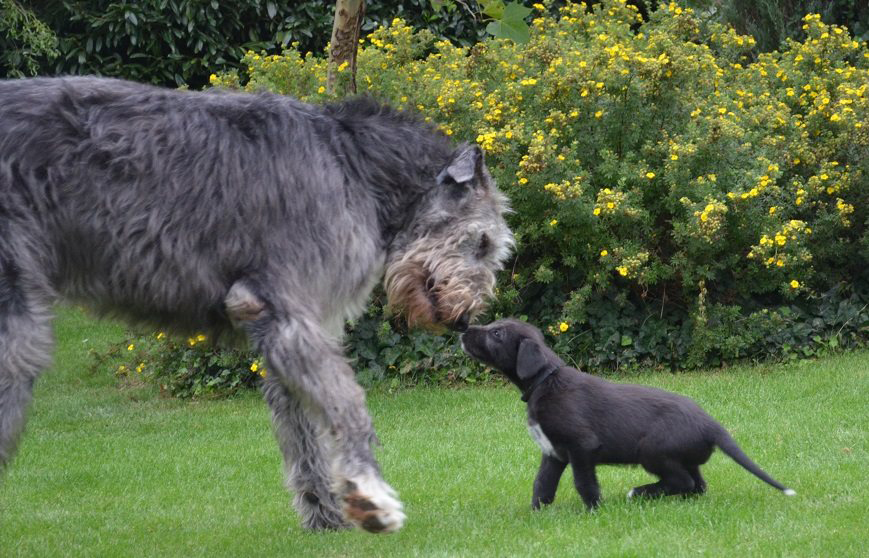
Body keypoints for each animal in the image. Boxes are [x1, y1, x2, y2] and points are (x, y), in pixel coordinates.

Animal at [0, 76, 512, 536]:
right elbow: (346, 398)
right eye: (484, 242)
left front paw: (326, 515)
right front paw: (369, 493)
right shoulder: (282, 304)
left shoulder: (291, 325)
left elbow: (301, 423)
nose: (466, 320)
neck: (356, 164)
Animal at [462, 320, 792, 512]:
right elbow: (542, 485)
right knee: (697, 485)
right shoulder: (553, 452)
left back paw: (639, 493)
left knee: (682, 482)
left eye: (496, 333)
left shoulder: (581, 447)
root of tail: (712, 425)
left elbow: (584, 483)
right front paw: (536, 513)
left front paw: (594, 511)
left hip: (652, 451)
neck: (545, 381)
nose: (464, 330)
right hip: (684, 456)